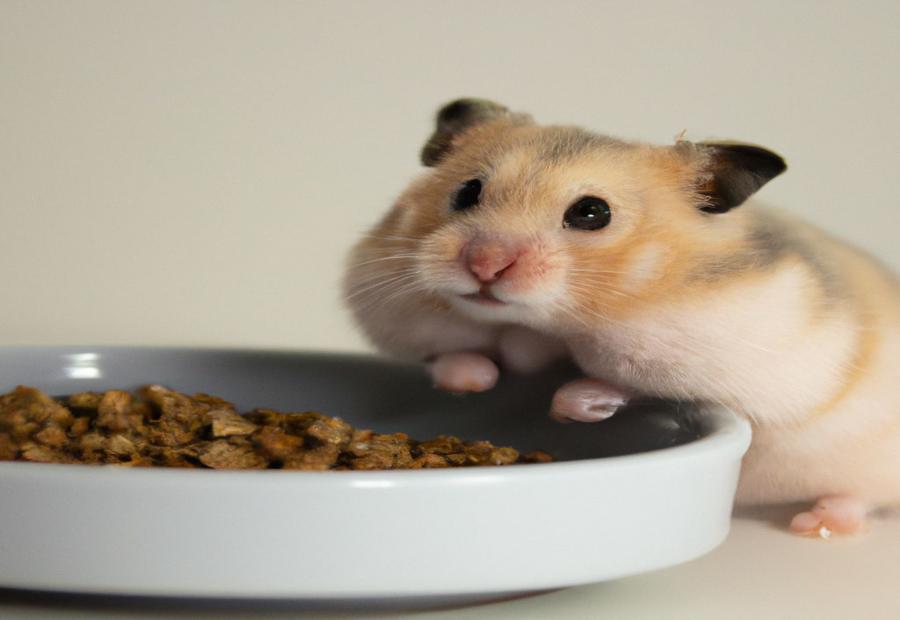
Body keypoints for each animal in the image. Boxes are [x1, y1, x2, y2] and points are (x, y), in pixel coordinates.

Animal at [343, 98, 900, 536]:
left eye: (592, 213)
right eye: (466, 192)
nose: (485, 266)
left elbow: (638, 384)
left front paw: (571, 406)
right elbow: (451, 355)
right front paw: (475, 379)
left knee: (859, 496)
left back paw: (817, 523)